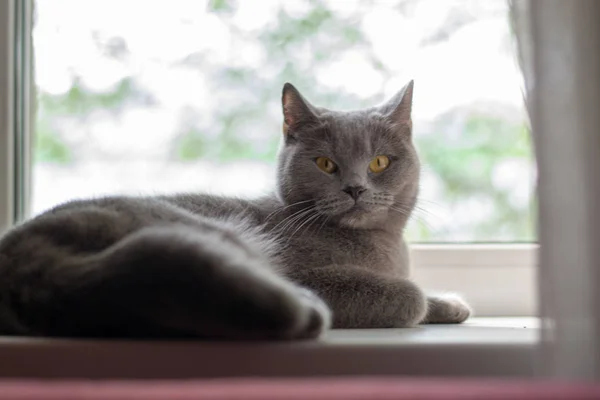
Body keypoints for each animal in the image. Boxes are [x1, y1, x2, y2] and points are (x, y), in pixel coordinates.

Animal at [0, 81, 468, 340]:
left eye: (379, 162)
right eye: (325, 164)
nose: (355, 188)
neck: (384, 247)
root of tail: (21, 264)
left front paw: (450, 305)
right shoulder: (308, 270)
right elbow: (407, 295)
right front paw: (424, 301)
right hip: (207, 232)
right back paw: (303, 311)